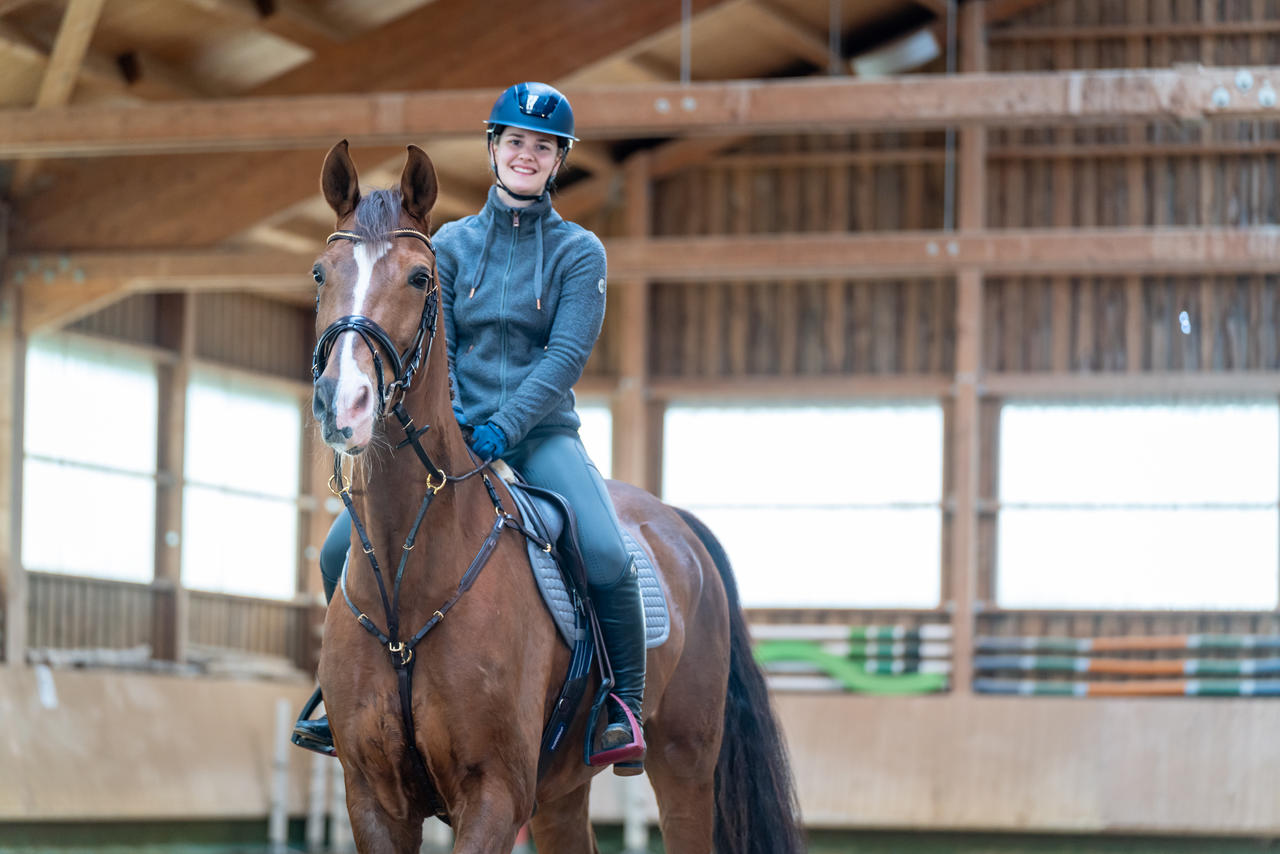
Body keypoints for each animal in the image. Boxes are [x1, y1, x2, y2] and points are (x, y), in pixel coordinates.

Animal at [308, 142, 798, 854]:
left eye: (422, 279)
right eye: (321, 273)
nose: (343, 404)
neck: (412, 578)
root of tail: (675, 525)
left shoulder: (493, 795)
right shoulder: (373, 799)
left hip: (684, 761)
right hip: (561, 790)